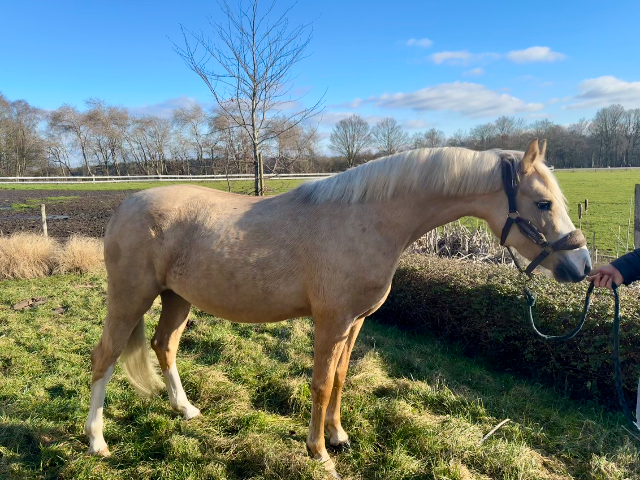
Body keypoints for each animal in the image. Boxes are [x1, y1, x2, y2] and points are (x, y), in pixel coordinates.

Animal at [85, 138, 591, 478]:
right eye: (542, 202)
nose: (582, 265)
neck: (366, 219)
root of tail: (126, 205)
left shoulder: (354, 323)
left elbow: (342, 379)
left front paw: (338, 436)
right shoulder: (331, 321)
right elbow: (322, 383)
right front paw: (319, 453)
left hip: (178, 298)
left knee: (164, 346)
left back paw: (185, 409)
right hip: (130, 297)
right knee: (104, 357)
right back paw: (96, 441)